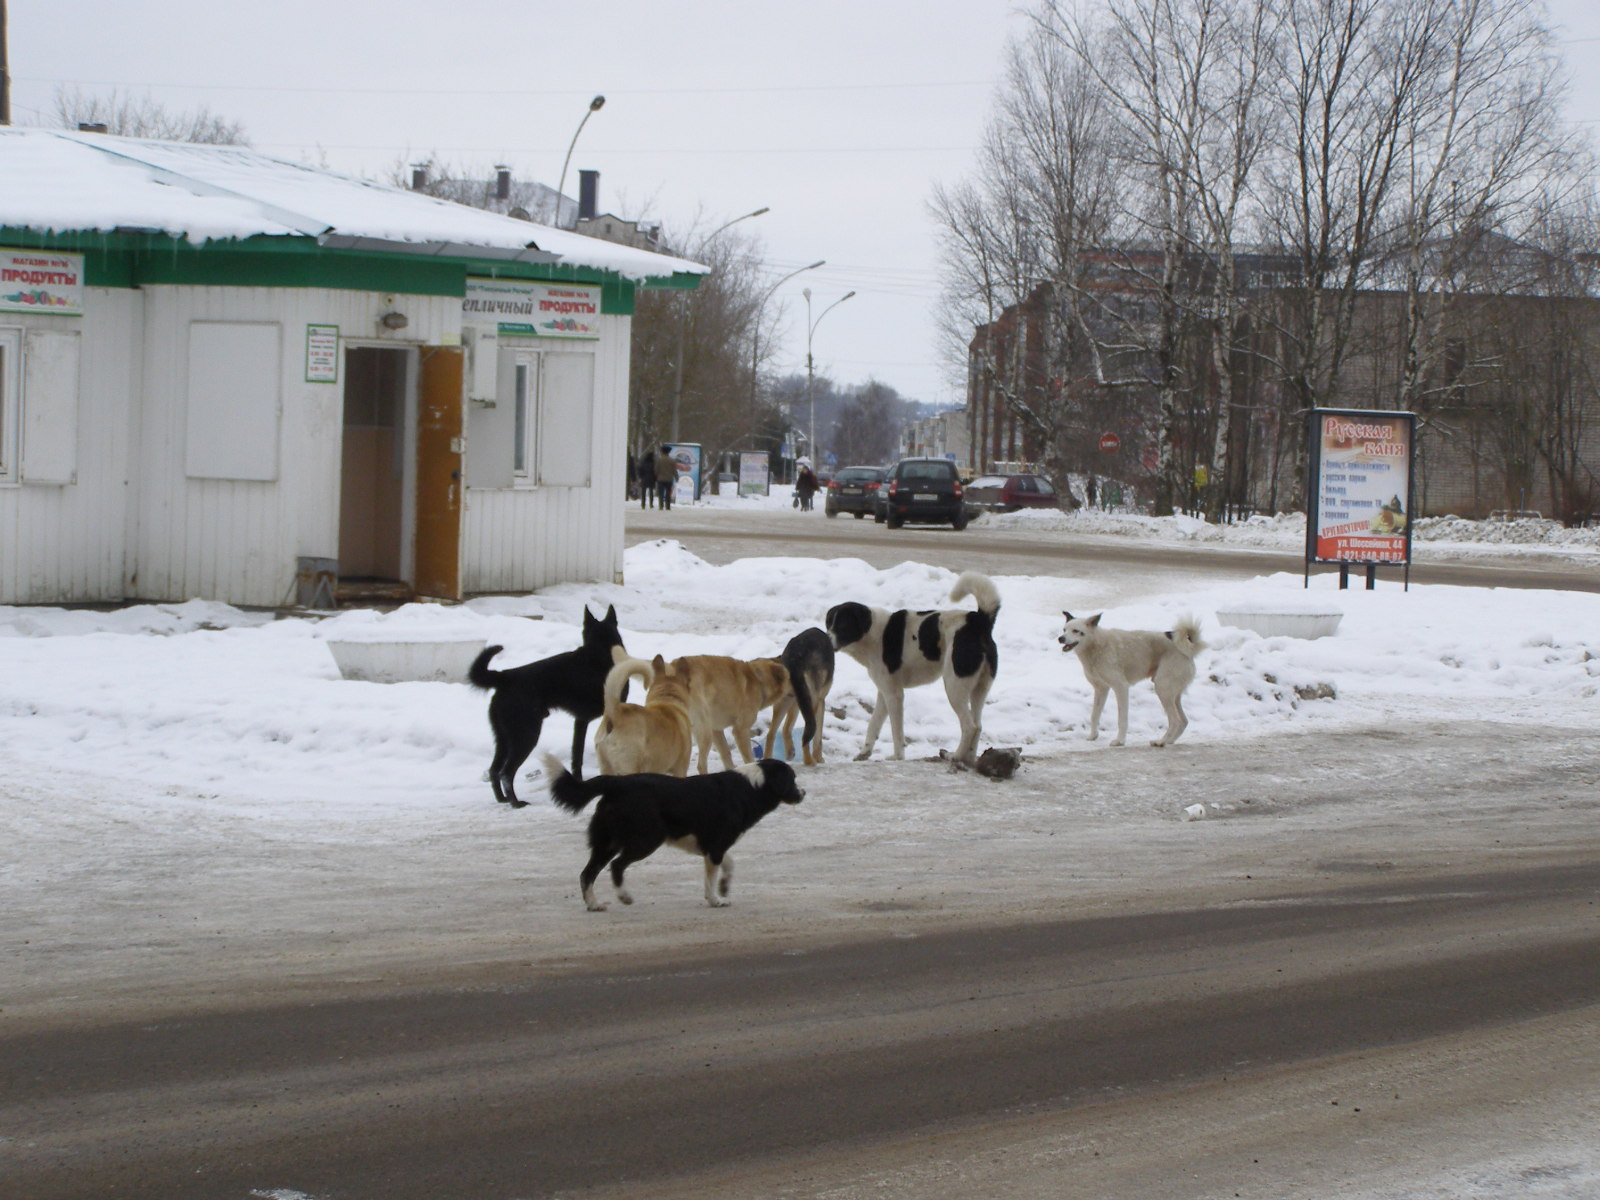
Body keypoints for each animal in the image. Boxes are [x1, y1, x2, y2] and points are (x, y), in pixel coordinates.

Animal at [467, 604, 624, 812]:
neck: (599, 651)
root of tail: (505, 676)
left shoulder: (581, 721)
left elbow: (577, 755)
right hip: (526, 735)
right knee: (506, 772)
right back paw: (516, 802)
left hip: (504, 737)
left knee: (494, 769)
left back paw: (502, 799)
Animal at [544, 755, 806, 915]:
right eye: (792, 779)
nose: (803, 793)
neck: (752, 786)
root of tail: (617, 784)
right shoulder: (716, 846)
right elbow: (711, 877)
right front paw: (715, 900)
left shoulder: (713, 846)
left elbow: (728, 864)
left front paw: (723, 888)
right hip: (646, 839)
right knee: (617, 866)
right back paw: (624, 896)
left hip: (606, 842)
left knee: (587, 873)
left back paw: (594, 904)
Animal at [825, 569, 998, 764]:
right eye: (829, 624)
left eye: (842, 625)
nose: (825, 639)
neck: (873, 634)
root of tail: (978, 621)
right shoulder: (885, 692)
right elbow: (874, 724)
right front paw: (865, 753)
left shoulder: (895, 695)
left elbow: (896, 731)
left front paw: (897, 757)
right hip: (979, 689)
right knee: (979, 725)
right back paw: (968, 758)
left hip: (954, 685)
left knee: (970, 726)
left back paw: (955, 755)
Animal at [1062, 614, 1203, 748]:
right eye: (1064, 630)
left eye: (1076, 630)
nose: (1060, 638)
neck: (1097, 645)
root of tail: (1186, 651)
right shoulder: (1101, 689)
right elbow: (1094, 715)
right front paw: (1093, 736)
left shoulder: (1121, 687)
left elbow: (1122, 719)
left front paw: (1119, 741)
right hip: (1173, 695)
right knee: (1183, 721)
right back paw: (1169, 740)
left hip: (1162, 689)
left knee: (1175, 720)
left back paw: (1160, 742)